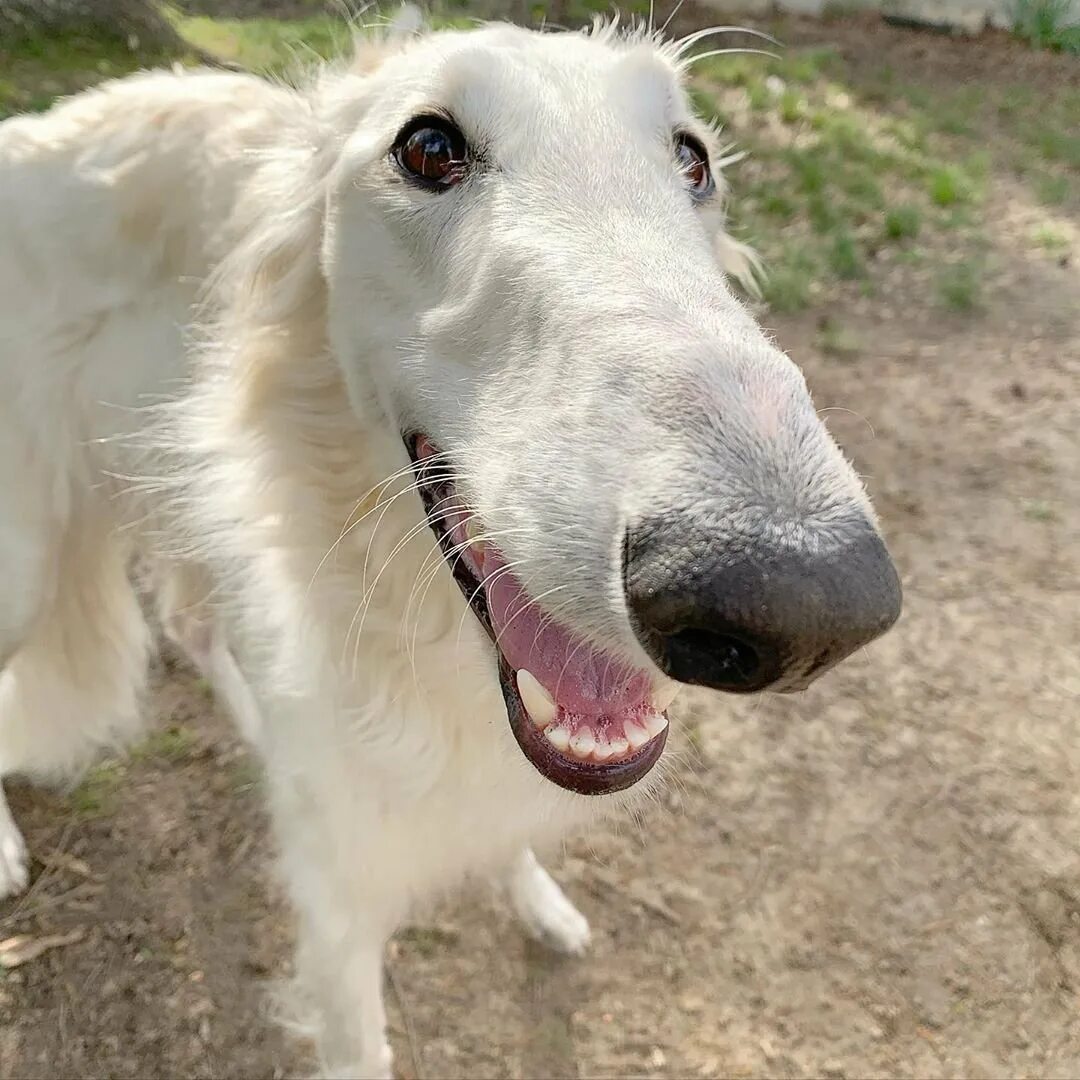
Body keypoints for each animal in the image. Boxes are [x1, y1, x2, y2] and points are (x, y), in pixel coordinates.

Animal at [0, 12, 902, 1075]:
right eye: (428, 147)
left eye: (694, 159)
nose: (804, 599)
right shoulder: (340, 912)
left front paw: (540, 902)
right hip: (24, 561)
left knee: (190, 620)